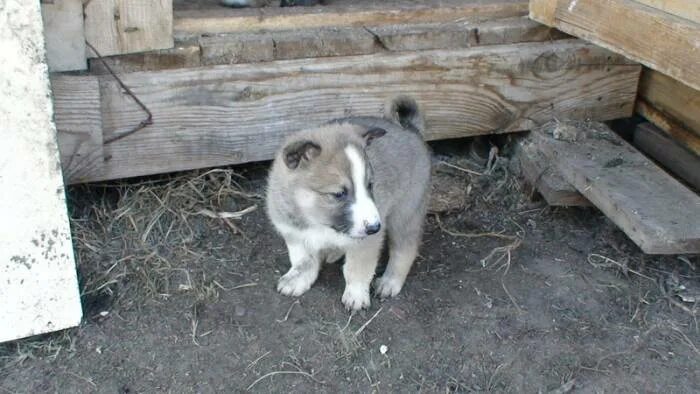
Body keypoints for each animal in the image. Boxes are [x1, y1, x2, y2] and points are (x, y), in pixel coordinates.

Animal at [266, 97, 432, 310]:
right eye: (338, 194)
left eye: (370, 185)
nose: (375, 227)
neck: (318, 222)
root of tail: (410, 129)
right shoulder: (294, 234)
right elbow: (304, 261)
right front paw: (298, 280)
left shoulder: (366, 242)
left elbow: (356, 269)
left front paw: (356, 295)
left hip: (405, 213)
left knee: (405, 250)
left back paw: (390, 282)